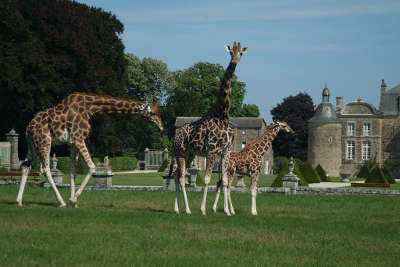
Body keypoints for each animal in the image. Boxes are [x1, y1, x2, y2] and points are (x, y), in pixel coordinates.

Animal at [16, 93, 164, 208]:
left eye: (159, 112)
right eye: (152, 113)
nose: (162, 127)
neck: (90, 108)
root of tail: (28, 127)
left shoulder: (73, 143)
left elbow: (73, 171)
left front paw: (74, 202)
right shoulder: (79, 138)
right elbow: (92, 167)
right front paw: (73, 199)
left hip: (32, 145)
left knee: (26, 166)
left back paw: (19, 201)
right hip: (45, 141)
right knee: (45, 169)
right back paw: (61, 202)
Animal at [170, 43, 247, 217]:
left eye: (241, 53)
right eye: (230, 52)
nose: (235, 61)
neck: (223, 115)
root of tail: (175, 136)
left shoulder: (225, 152)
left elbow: (224, 181)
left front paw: (227, 211)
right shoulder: (212, 150)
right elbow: (206, 179)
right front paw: (203, 209)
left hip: (190, 154)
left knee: (178, 176)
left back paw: (178, 209)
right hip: (180, 153)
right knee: (181, 177)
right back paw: (187, 209)